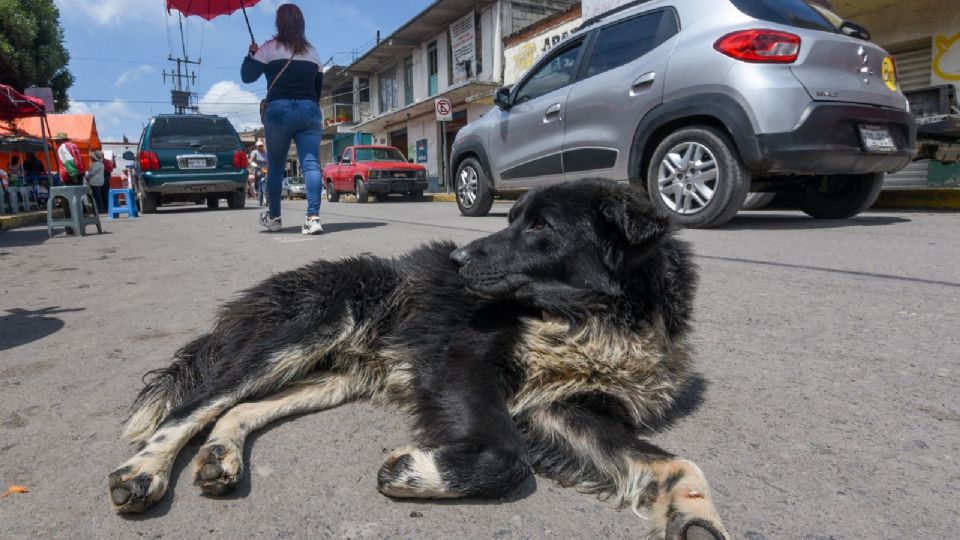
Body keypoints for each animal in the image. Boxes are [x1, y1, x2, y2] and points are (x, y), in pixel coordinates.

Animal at [109, 179, 728, 536]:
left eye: (540, 227)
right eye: (512, 218)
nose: (456, 259)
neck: (592, 319)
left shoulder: (564, 407)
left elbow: (679, 463)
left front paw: (696, 518)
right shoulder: (460, 361)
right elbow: (507, 457)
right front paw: (416, 472)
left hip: (332, 376)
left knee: (238, 409)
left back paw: (220, 456)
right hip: (299, 334)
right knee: (193, 405)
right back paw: (143, 472)